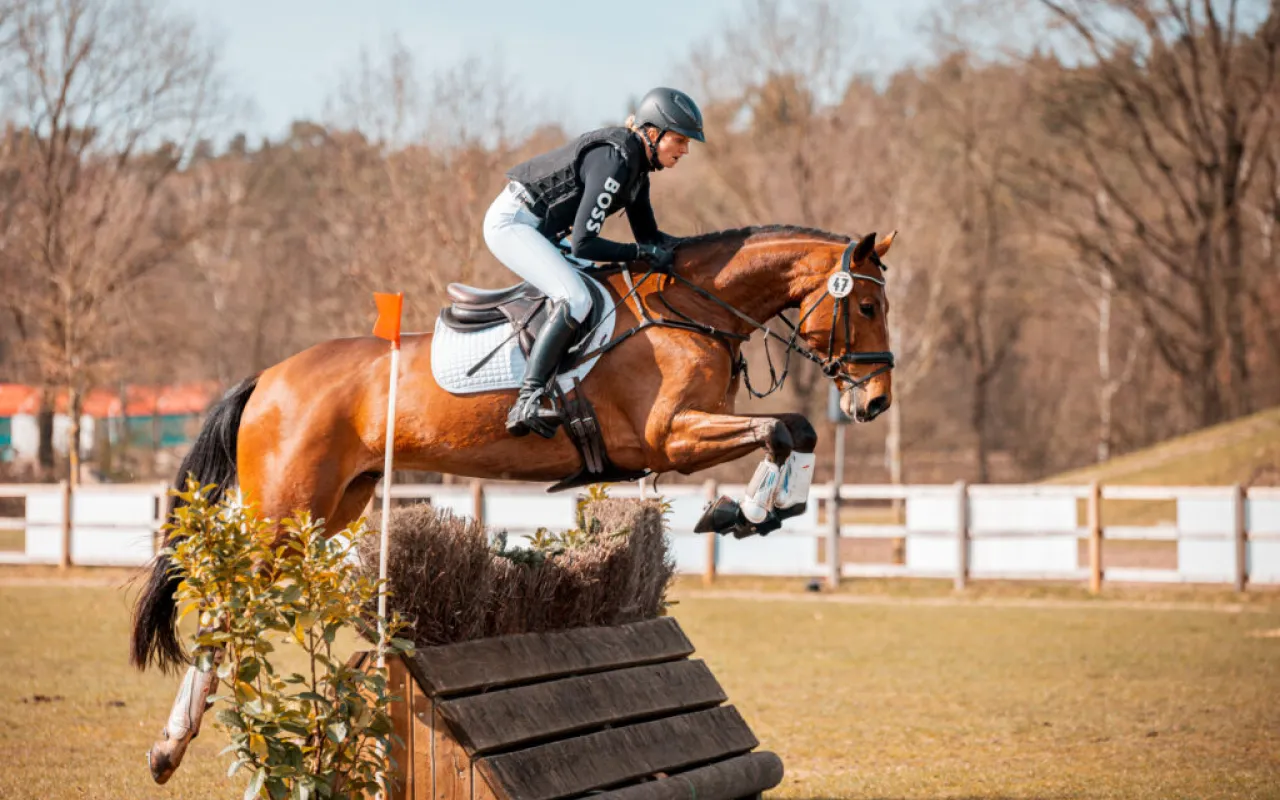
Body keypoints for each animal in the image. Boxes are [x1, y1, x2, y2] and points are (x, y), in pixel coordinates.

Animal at [127, 222, 890, 778]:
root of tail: (268, 378)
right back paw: (171, 745)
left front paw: (757, 512)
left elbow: (793, 432)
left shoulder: (687, 436)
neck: (691, 311)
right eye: (869, 305)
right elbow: (785, 429)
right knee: (225, 610)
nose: (876, 402)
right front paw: (747, 512)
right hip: (284, 513)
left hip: (334, 506)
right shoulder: (670, 437)